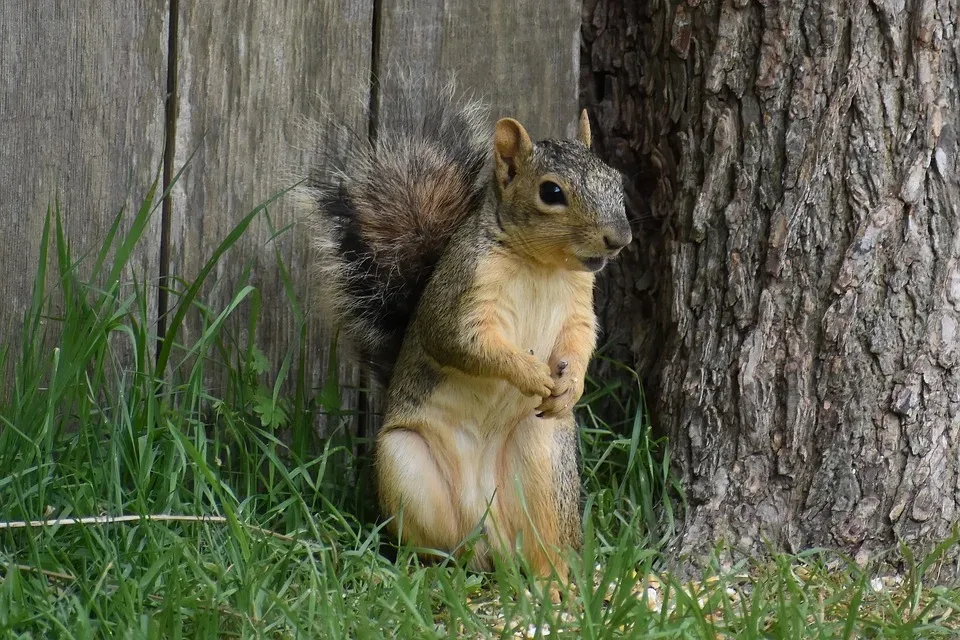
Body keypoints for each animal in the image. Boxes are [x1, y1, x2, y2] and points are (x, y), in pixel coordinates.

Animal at [300, 79, 632, 596]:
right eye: (551, 191)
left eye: (616, 181)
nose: (619, 239)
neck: (542, 267)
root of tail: (487, 517)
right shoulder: (460, 296)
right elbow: (464, 344)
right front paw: (530, 373)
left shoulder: (580, 306)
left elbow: (581, 342)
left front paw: (570, 384)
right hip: (405, 465)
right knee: (441, 547)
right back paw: (428, 572)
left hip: (544, 454)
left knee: (543, 539)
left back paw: (555, 579)